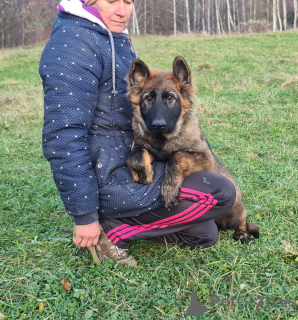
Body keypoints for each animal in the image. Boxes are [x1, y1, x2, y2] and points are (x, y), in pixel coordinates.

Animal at [125, 57, 258, 242]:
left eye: (170, 98)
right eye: (148, 98)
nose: (158, 125)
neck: (163, 139)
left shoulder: (204, 158)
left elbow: (177, 156)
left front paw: (169, 190)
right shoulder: (146, 147)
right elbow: (136, 155)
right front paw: (143, 173)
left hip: (236, 208)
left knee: (243, 219)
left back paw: (242, 233)